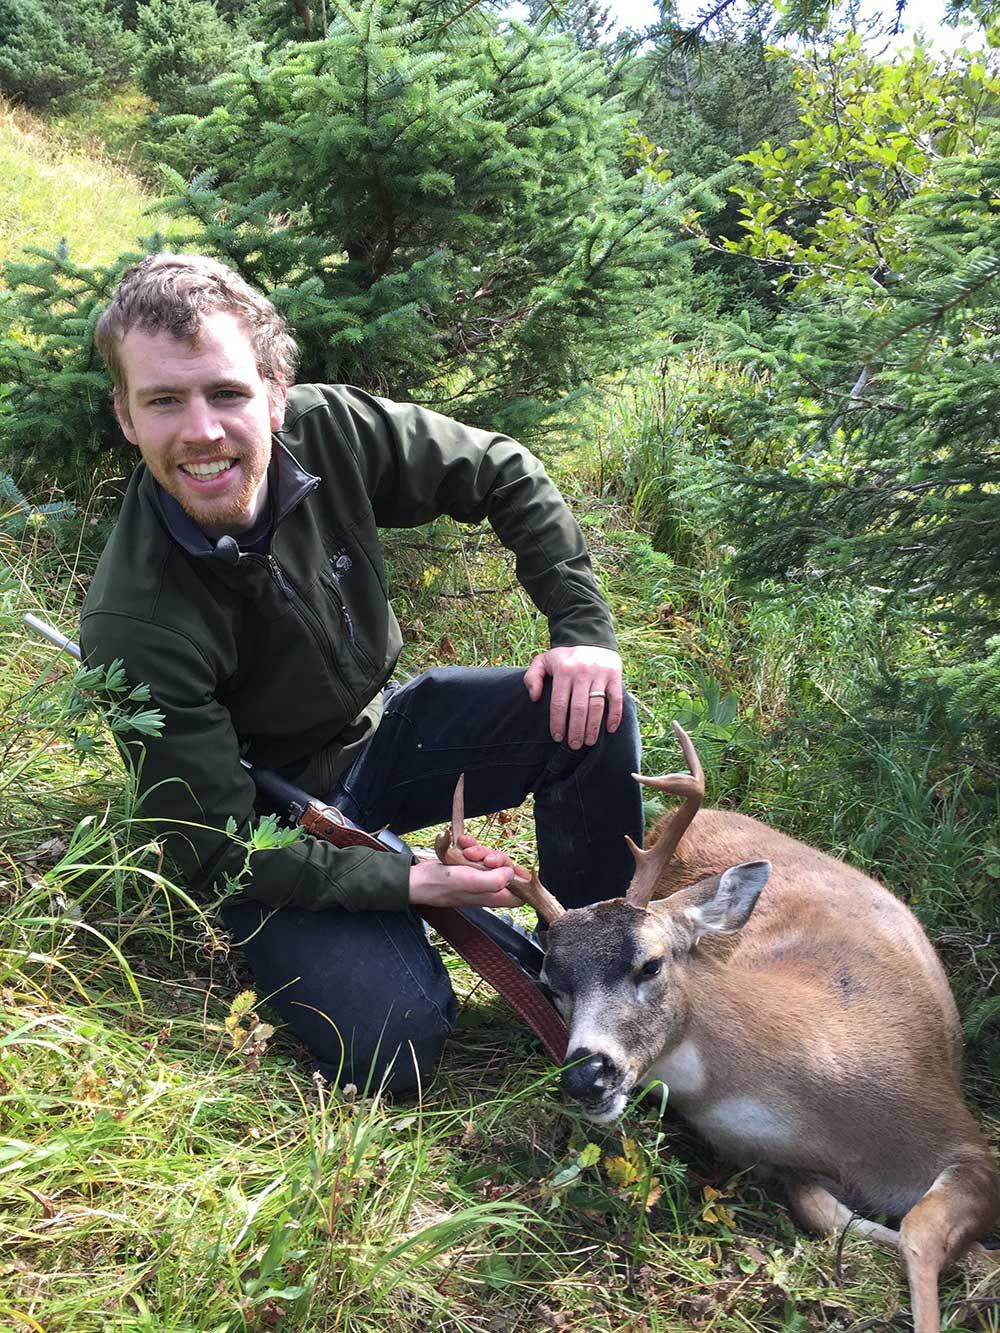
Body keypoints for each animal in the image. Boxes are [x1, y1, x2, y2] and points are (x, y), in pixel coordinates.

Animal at [437, 730, 1000, 1333]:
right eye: (550, 983)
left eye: (651, 964)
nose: (586, 1076)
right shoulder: (788, 1168)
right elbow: (825, 1212)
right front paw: (978, 1263)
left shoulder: (963, 1137)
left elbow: (918, 1232)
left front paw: (979, 1270)